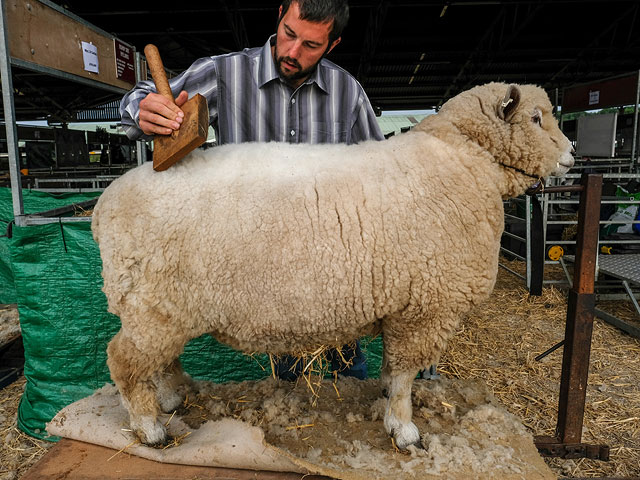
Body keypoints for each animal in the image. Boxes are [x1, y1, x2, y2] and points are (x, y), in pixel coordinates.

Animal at [91, 81, 576, 450]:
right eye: (536, 119)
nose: (572, 154)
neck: (466, 160)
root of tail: (103, 207)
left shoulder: (405, 310)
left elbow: (392, 371)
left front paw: (389, 402)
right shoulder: (424, 308)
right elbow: (405, 375)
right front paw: (404, 429)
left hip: (164, 309)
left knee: (159, 361)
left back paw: (172, 397)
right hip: (151, 306)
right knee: (124, 361)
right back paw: (149, 427)